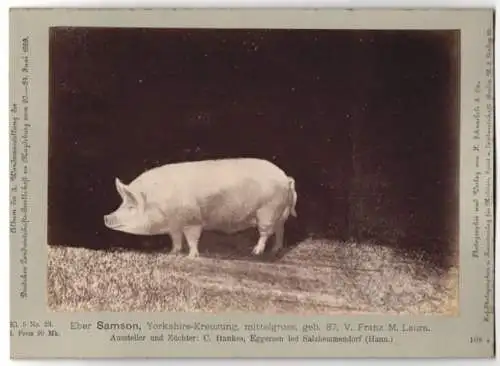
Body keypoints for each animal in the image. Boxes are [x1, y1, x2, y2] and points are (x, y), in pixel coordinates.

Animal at [102, 157, 296, 258]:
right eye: (122, 203)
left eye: (131, 207)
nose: (106, 217)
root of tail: (285, 177)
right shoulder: (174, 225)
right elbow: (176, 238)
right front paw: (173, 253)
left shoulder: (192, 220)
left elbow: (192, 238)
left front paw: (191, 256)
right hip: (280, 213)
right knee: (280, 230)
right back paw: (276, 249)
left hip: (267, 210)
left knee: (265, 232)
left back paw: (256, 252)